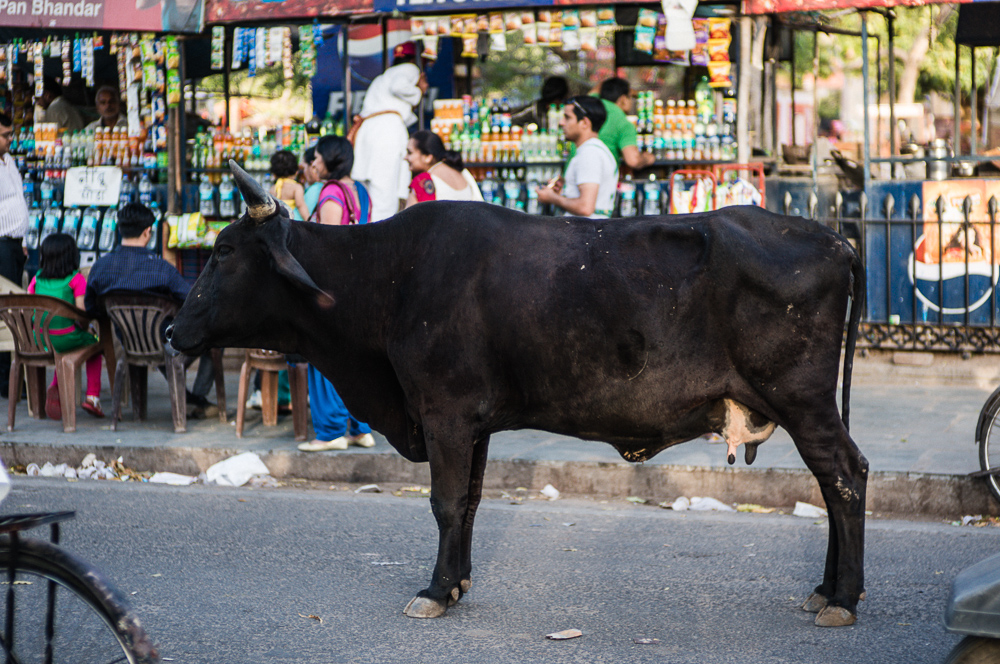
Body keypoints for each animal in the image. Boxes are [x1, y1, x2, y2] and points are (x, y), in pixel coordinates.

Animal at [170, 165, 868, 628]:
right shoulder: (473, 424)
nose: (175, 330)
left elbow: (446, 503)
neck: (387, 275)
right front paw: (457, 583)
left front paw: (435, 590)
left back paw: (842, 597)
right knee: (834, 482)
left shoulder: (446, 414)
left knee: (846, 475)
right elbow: (472, 503)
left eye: (224, 250)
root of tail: (835, 238)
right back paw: (826, 589)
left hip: (802, 400)